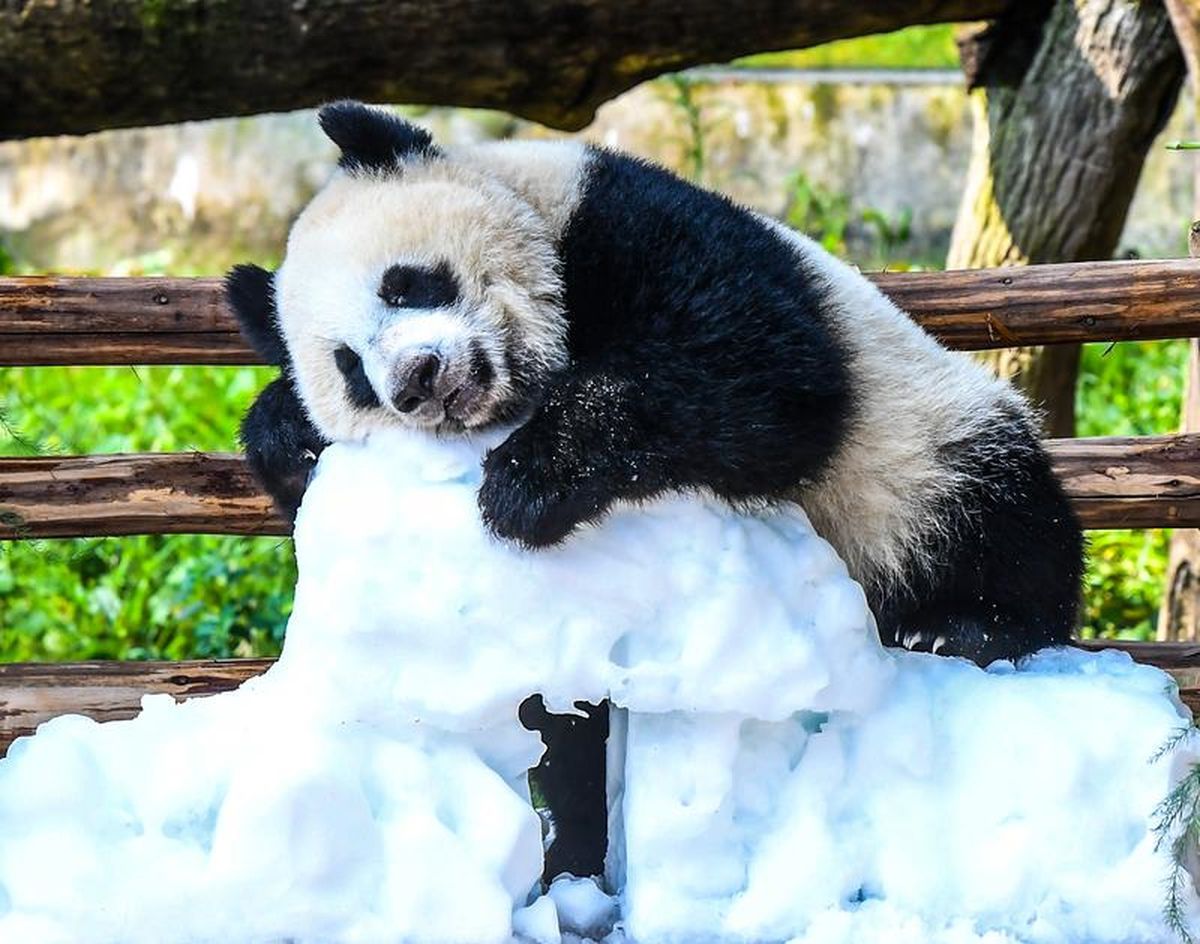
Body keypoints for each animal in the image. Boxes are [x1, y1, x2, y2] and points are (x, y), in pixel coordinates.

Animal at [226, 100, 1083, 878]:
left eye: (405, 284)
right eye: (349, 368)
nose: (416, 380)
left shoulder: (626, 223)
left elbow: (760, 374)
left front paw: (525, 481)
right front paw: (283, 426)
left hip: (921, 445)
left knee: (1000, 514)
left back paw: (967, 627)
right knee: (561, 735)